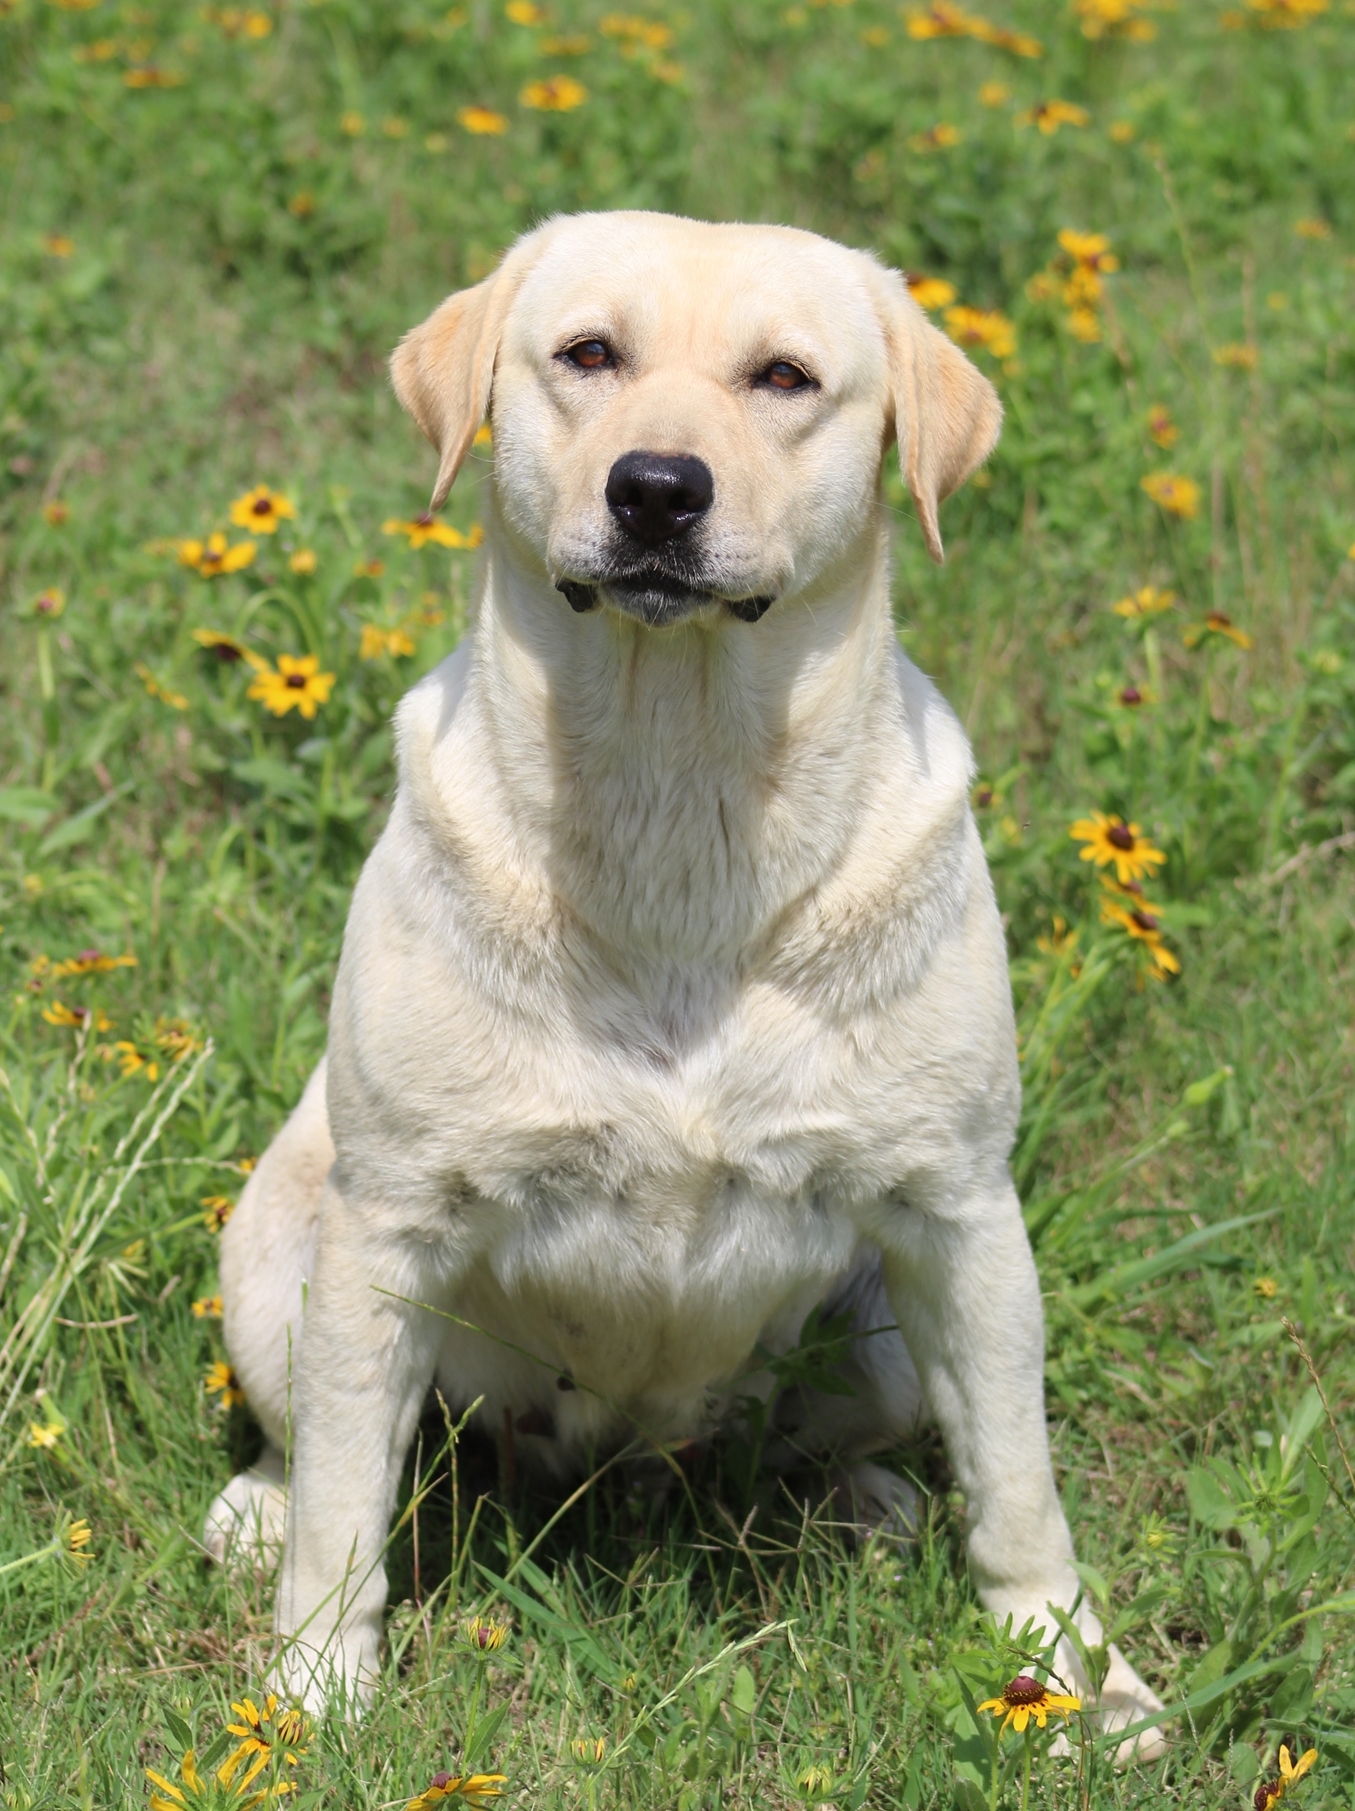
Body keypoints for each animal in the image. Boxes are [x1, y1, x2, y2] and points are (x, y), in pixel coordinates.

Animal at [209, 211, 1166, 1753]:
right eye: (587, 353)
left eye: (783, 377)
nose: (656, 489)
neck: (678, 789)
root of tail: (625, 1458)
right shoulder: (391, 1221)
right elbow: (346, 1497)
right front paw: (311, 1691)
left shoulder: (962, 1213)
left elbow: (1020, 1483)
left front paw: (1075, 1672)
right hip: (275, 1253)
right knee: (329, 1447)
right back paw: (254, 1511)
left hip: (879, 1331)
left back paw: (868, 1504)